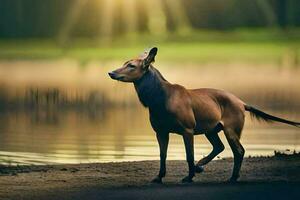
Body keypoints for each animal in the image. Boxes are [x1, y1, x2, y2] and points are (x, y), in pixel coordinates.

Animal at [108, 47, 300, 183]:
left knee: (238, 151)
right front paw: (159, 177)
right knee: (220, 147)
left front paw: (189, 176)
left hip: (230, 129)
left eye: (131, 66)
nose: (111, 72)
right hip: (211, 129)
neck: (156, 99)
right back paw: (202, 166)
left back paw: (231, 177)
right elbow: (163, 156)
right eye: (125, 63)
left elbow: (189, 155)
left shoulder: (187, 129)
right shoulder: (160, 131)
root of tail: (243, 103)